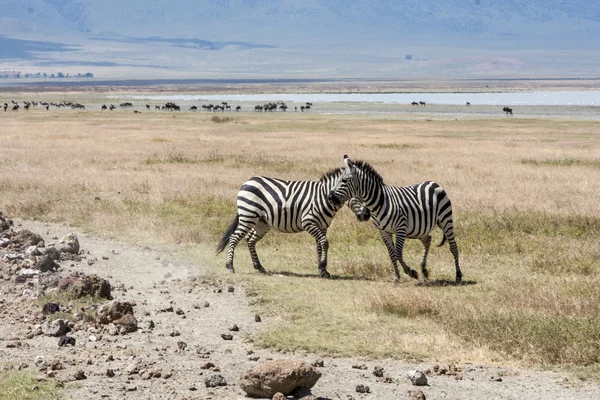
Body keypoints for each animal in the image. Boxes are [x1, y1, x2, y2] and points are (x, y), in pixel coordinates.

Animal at [213, 169, 368, 278]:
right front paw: (323, 269)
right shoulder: (309, 222)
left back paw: (259, 266)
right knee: (234, 237)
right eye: (357, 196)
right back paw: (230, 266)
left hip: (262, 222)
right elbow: (324, 243)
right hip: (248, 215)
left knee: (250, 239)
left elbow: (319, 246)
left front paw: (322, 269)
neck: (323, 197)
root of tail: (248, 181)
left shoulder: (322, 226)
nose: (366, 215)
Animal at [326, 155, 462, 282]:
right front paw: (397, 276)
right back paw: (424, 270)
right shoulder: (383, 231)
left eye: (344, 180)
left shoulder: (400, 228)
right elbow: (391, 254)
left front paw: (411, 272)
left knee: (453, 247)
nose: (329, 198)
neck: (379, 202)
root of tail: (433, 183)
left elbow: (398, 253)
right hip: (420, 228)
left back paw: (458, 275)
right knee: (427, 240)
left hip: (446, 219)